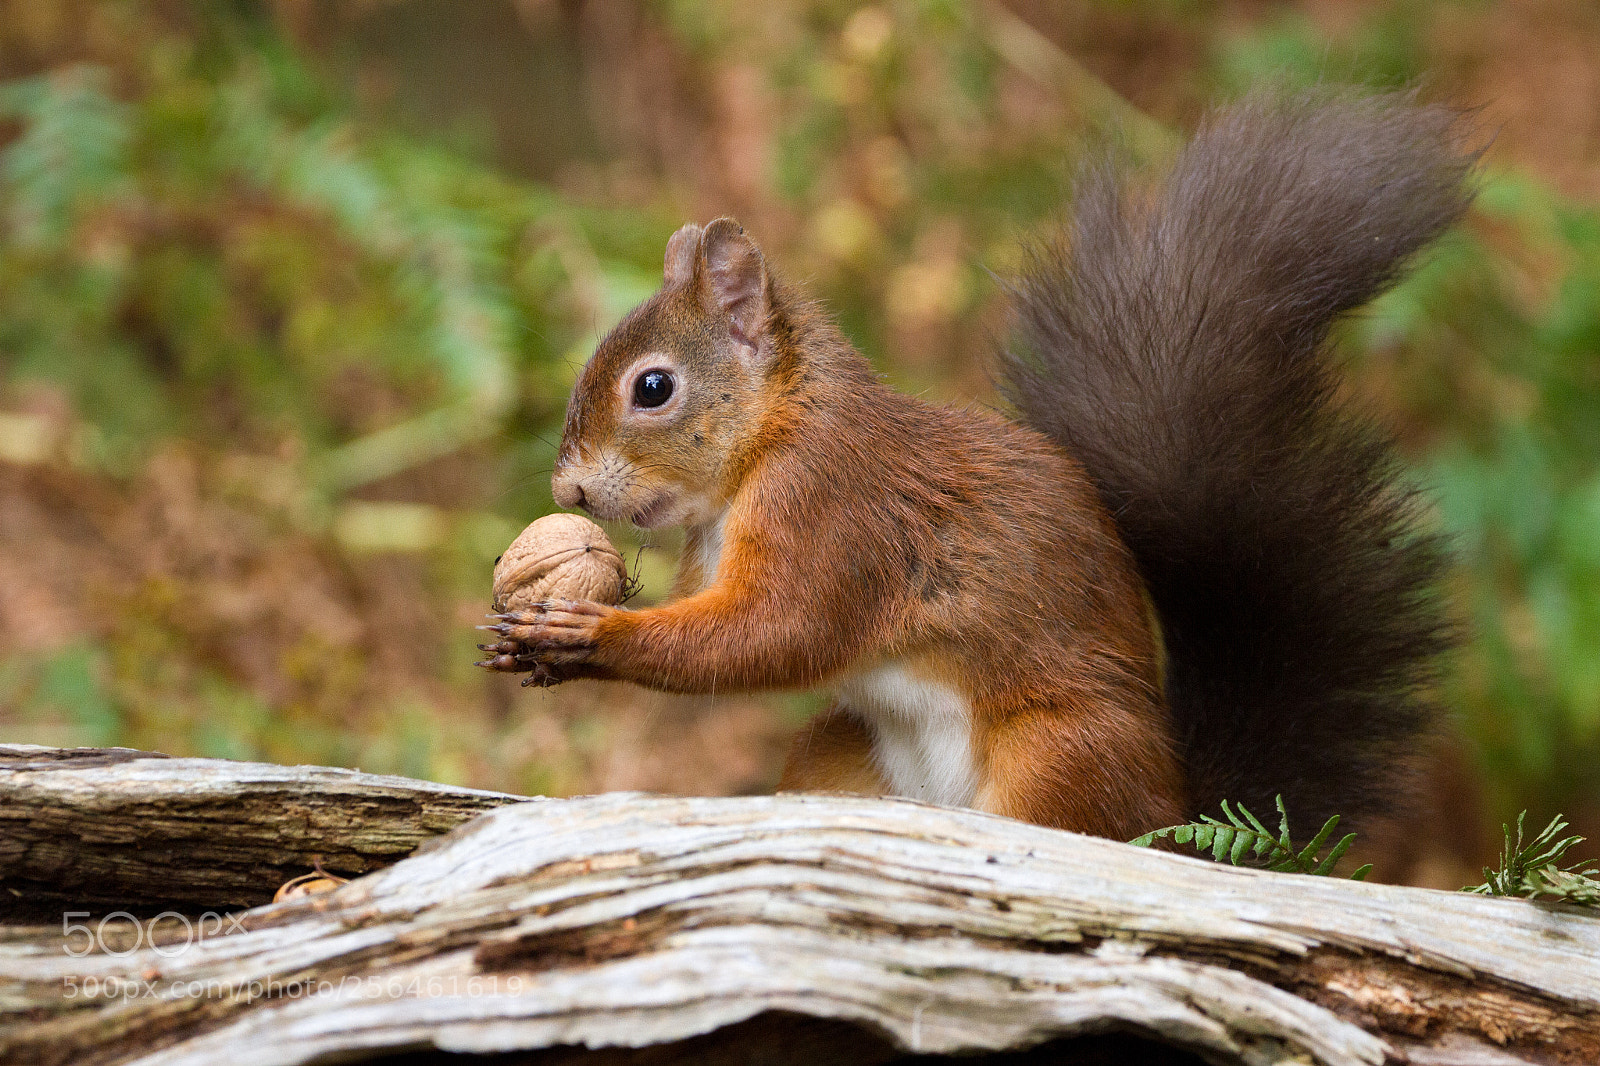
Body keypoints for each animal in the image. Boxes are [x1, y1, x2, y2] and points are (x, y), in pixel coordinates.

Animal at [478, 90, 1476, 842]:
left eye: (653, 387)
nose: (567, 489)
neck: (767, 447)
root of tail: (1183, 814)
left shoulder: (836, 508)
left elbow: (779, 631)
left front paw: (587, 635)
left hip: (1057, 751)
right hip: (845, 751)